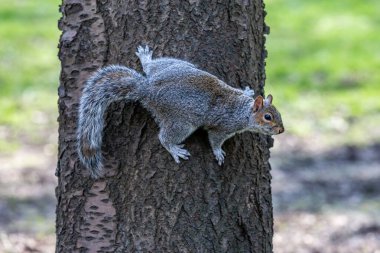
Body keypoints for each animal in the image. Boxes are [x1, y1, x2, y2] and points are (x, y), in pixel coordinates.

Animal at [78, 45, 284, 179]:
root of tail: (146, 88)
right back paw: (174, 149)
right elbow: (214, 139)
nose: (281, 130)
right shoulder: (222, 127)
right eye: (268, 117)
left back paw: (146, 59)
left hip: (177, 65)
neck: (242, 110)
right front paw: (218, 152)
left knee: (152, 67)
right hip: (182, 123)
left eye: (279, 114)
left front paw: (248, 91)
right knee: (164, 137)